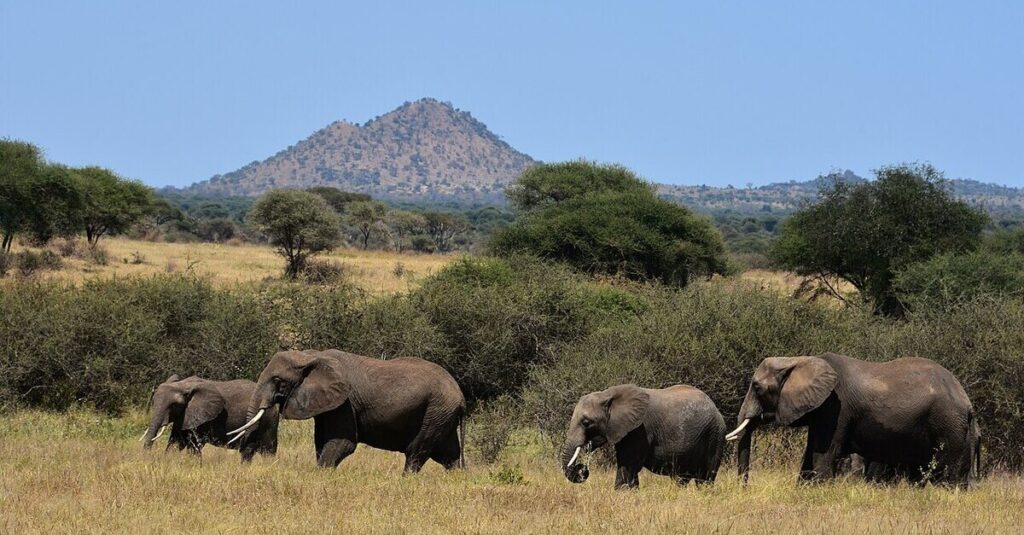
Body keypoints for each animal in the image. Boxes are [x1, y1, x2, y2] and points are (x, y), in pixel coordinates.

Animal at [141, 374, 279, 461]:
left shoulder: (203, 418)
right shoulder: (185, 415)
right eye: (153, 401)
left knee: (261, 449)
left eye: (174, 406)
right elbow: (176, 441)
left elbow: (194, 445)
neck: (183, 385)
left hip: (266, 420)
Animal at [229, 349, 466, 472]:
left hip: (437, 410)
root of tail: (461, 396)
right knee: (448, 454)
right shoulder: (328, 404)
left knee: (416, 452)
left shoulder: (345, 403)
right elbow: (321, 441)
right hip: (442, 414)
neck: (310, 355)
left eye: (278, 381)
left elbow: (342, 443)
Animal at [561, 384, 726, 489]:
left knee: (705, 476)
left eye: (586, 423)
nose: (582, 468)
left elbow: (629, 464)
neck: (607, 395)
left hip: (715, 434)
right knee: (682, 477)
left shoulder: (639, 430)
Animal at [726, 353, 981, 486]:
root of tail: (966, 400)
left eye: (757, 388)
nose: (745, 487)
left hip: (947, 423)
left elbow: (823, 453)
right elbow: (810, 453)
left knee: (947, 471)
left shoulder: (835, 408)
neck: (798, 360)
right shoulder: (822, 411)